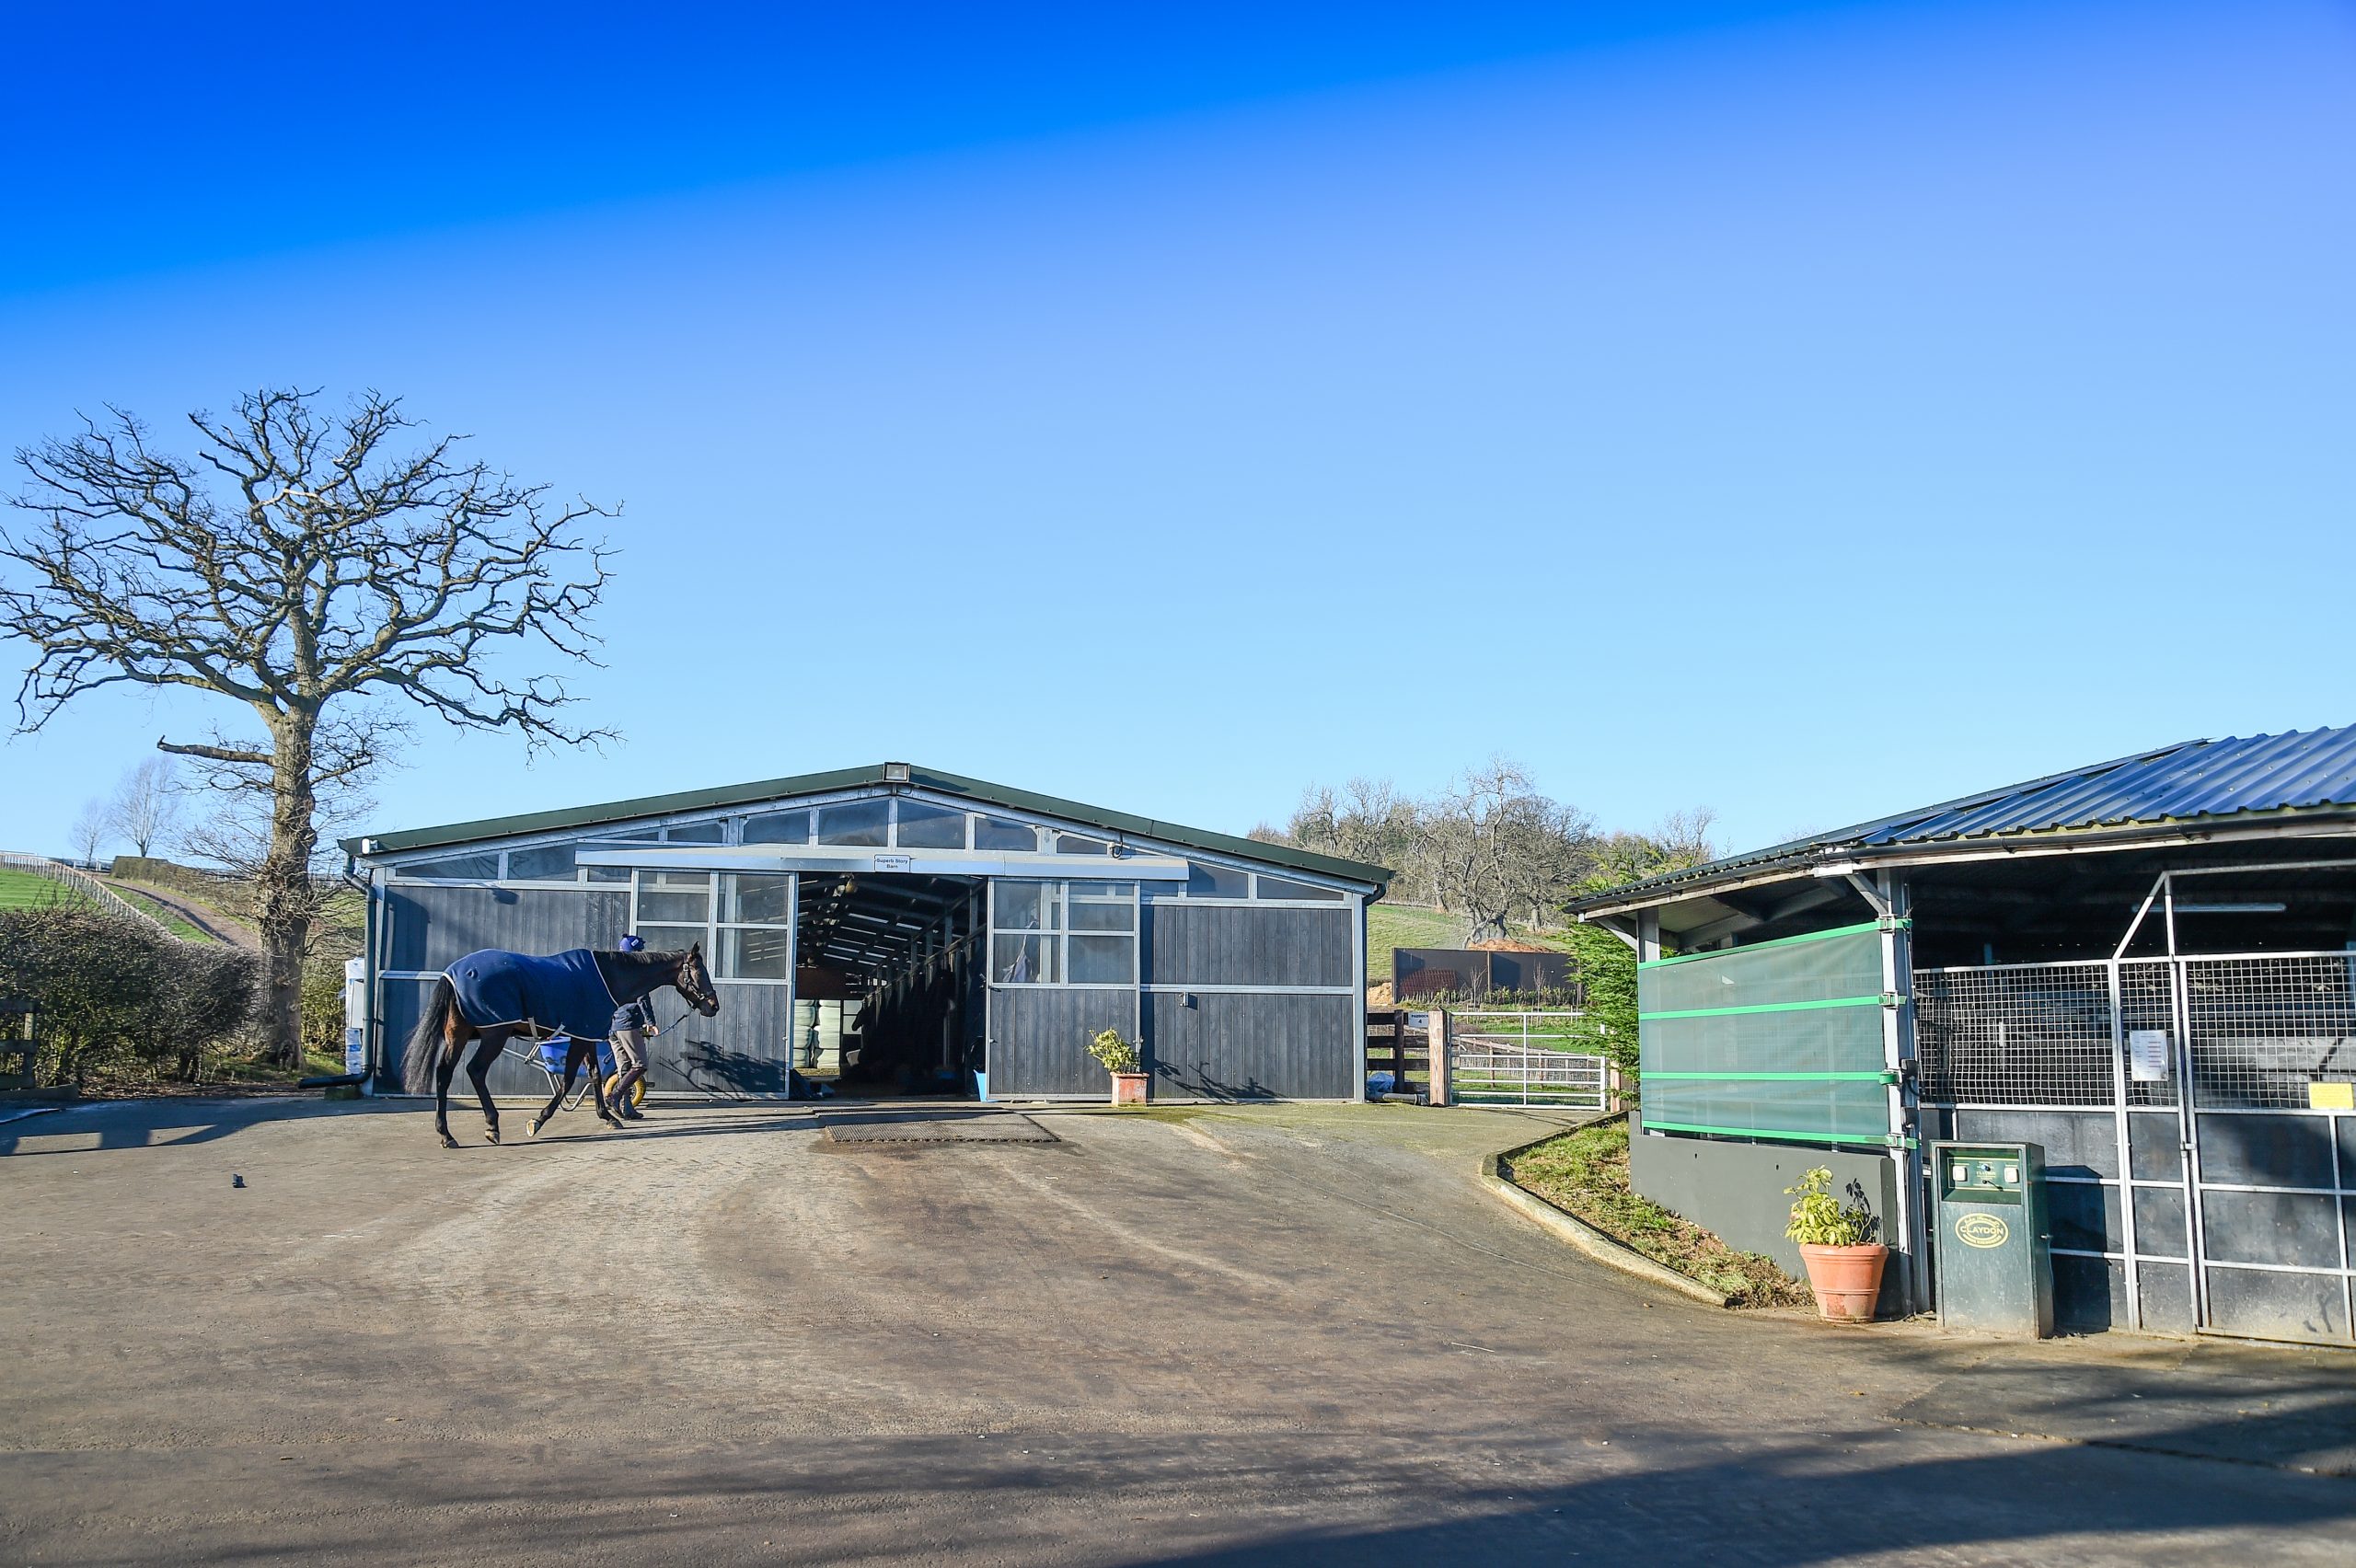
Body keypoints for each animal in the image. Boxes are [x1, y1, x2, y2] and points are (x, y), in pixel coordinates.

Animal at [402, 941, 716, 1148]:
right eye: (699, 971)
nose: (714, 1006)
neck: (606, 976)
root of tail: (453, 972)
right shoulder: (581, 1037)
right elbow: (566, 1081)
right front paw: (538, 1121)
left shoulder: (587, 1036)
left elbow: (594, 1076)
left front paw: (608, 1117)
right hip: (494, 1035)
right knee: (476, 1071)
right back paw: (492, 1127)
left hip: (458, 1035)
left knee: (444, 1074)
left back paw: (447, 1135)